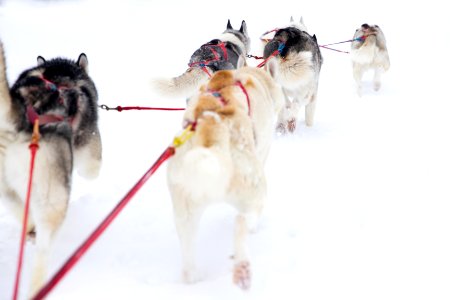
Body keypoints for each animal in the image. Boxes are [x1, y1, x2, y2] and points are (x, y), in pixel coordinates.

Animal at [0, 41, 101, 296]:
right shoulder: (90, 149)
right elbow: (91, 171)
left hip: (8, 189)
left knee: (23, 214)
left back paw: (30, 232)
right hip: (52, 196)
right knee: (44, 249)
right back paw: (39, 285)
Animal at [167, 67, 284, 290]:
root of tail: (211, 124)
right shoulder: (264, 146)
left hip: (184, 211)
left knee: (188, 258)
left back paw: (193, 278)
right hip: (256, 192)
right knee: (240, 222)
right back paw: (242, 267)